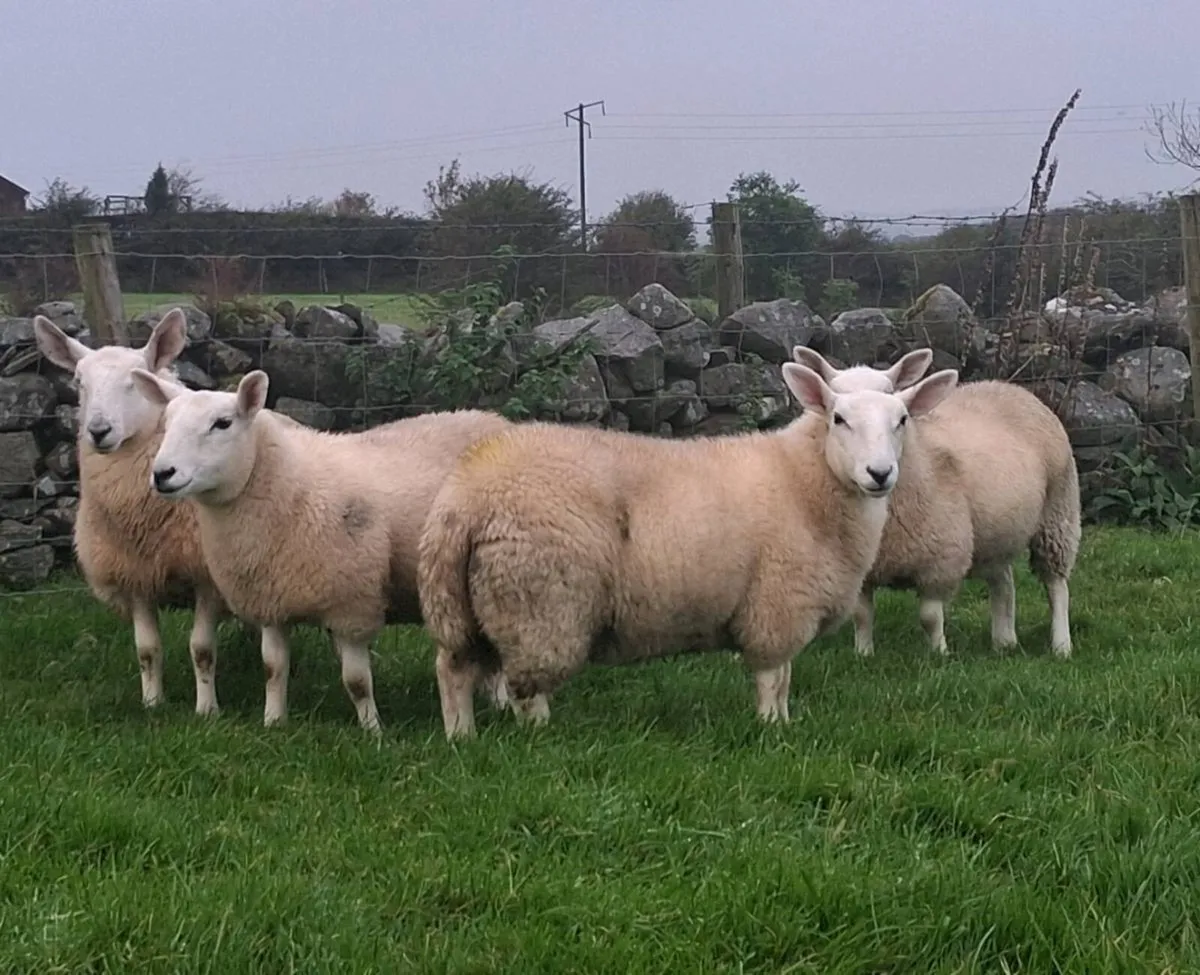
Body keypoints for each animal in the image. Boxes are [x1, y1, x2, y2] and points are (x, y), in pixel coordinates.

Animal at [32, 308, 227, 715]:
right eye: (79, 381)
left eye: (135, 381)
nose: (98, 430)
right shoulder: (133, 573)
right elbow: (147, 650)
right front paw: (152, 704)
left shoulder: (207, 579)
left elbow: (201, 649)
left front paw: (206, 711)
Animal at [130, 367, 515, 734]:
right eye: (166, 424)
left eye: (222, 423)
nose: (162, 474)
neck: (287, 481)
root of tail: (496, 422)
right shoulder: (271, 598)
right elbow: (273, 667)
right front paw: (274, 721)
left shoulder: (351, 605)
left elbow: (357, 681)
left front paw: (373, 731)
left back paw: (502, 703)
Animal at [416, 361, 960, 740]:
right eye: (839, 419)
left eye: (902, 419)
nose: (879, 474)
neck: (805, 481)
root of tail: (465, 498)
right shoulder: (777, 605)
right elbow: (772, 677)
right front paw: (771, 727)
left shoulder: (779, 610)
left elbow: (785, 677)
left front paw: (783, 721)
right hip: (540, 602)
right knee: (526, 689)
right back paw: (539, 735)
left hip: (464, 604)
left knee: (453, 670)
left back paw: (461, 737)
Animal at [791, 346, 1081, 659]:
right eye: (838, 416)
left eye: (901, 416)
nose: (879, 472)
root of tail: (1007, 386)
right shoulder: (863, 570)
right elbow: (862, 615)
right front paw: (864, 654)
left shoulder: (941, 561)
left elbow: (930, 617)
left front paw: (939, 655)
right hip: (993, 532)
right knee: (1003, 581)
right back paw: (1004, 641)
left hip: (1058, 513)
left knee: (1056, 585)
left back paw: (1061, 645)